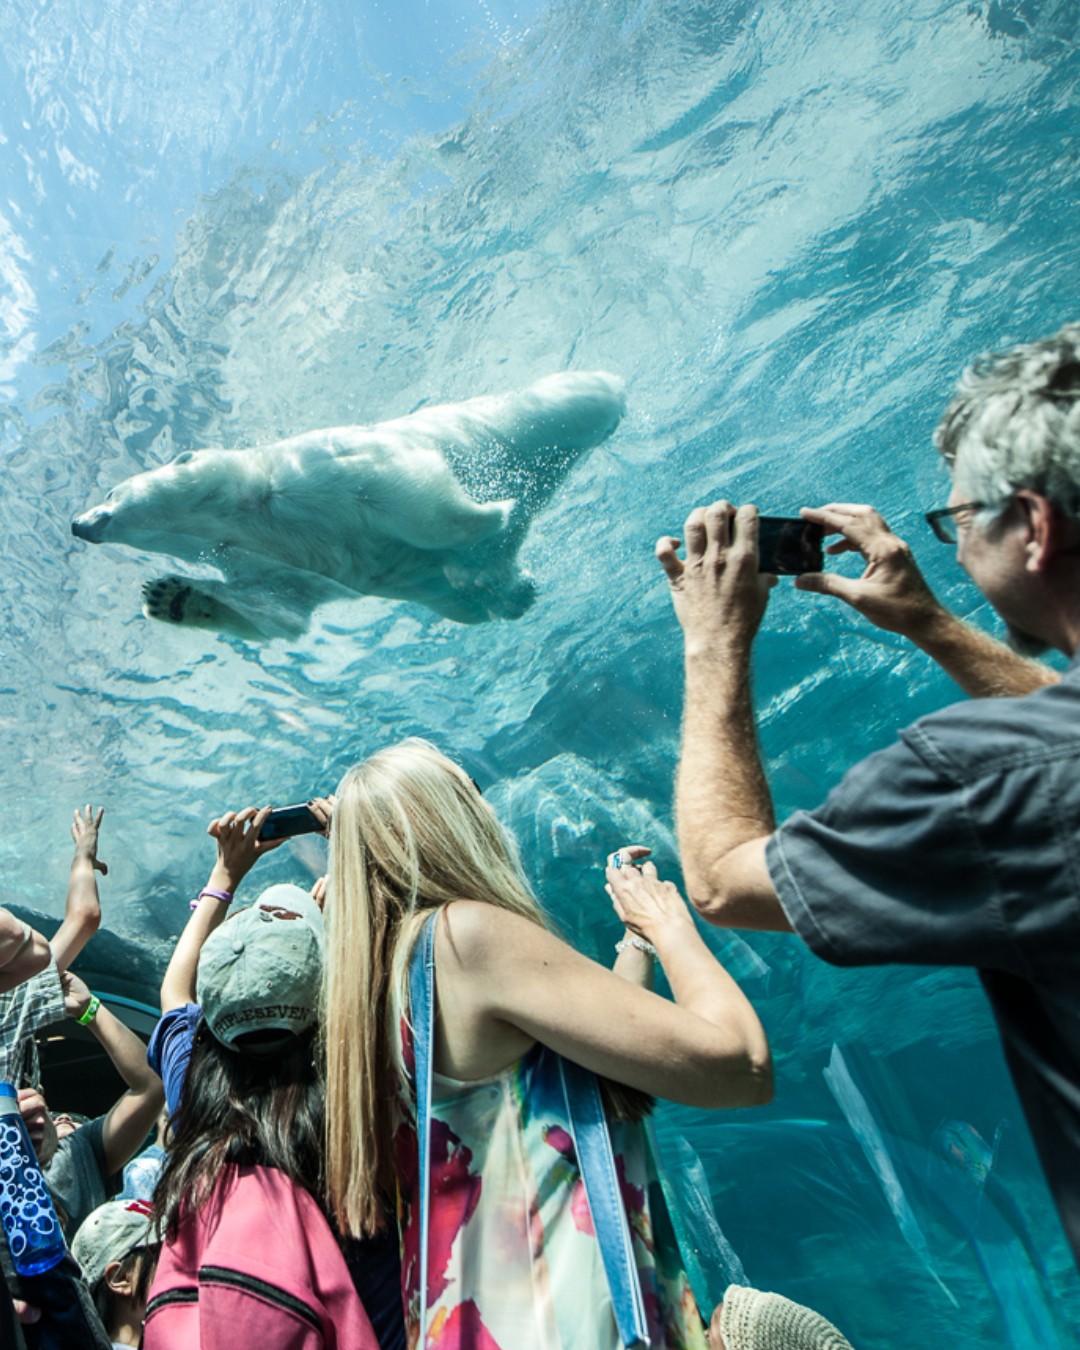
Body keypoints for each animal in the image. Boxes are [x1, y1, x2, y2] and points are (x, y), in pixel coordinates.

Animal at [71, 371, 625, 639]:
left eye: (109, 492)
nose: (78, 523)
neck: (249, 507)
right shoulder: (264, 561)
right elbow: (281, 610)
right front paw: (172, 596)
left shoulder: (320, 473)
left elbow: (405, 492)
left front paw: (490, 514)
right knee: (473, 602)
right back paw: (510, 589)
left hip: (515, 416)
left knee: (567, 399)